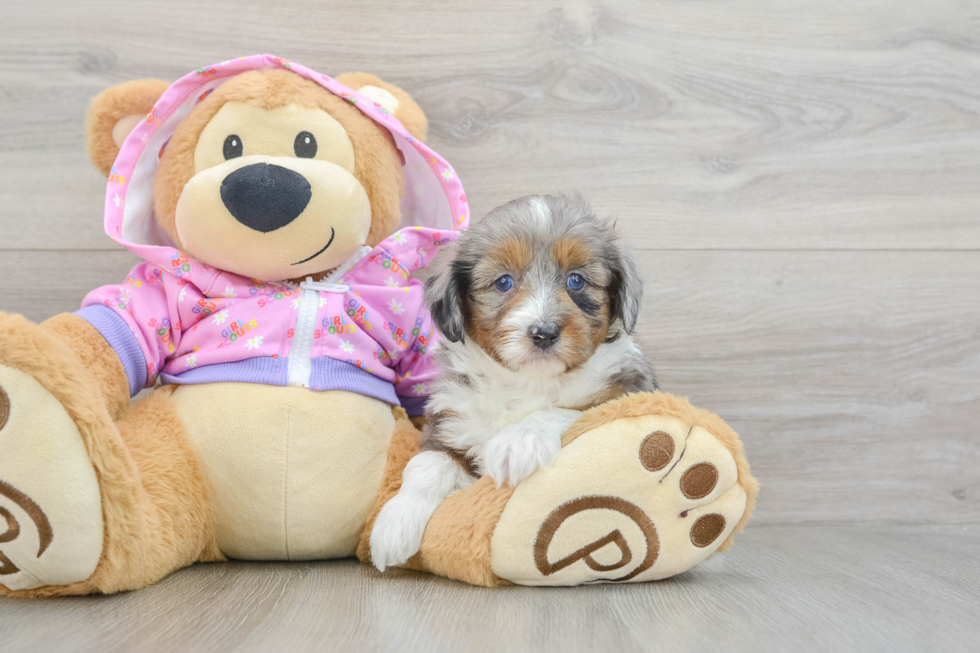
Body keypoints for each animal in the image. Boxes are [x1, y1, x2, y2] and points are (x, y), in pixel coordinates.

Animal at [372, 194, 656, 572]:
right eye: (503, 282)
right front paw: (396, 520)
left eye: (576, 280)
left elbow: (569, 410)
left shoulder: (626, 392)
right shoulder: (451, 422)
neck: (525, 382)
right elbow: (427, 466)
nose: (544, 332)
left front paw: (518, 442)